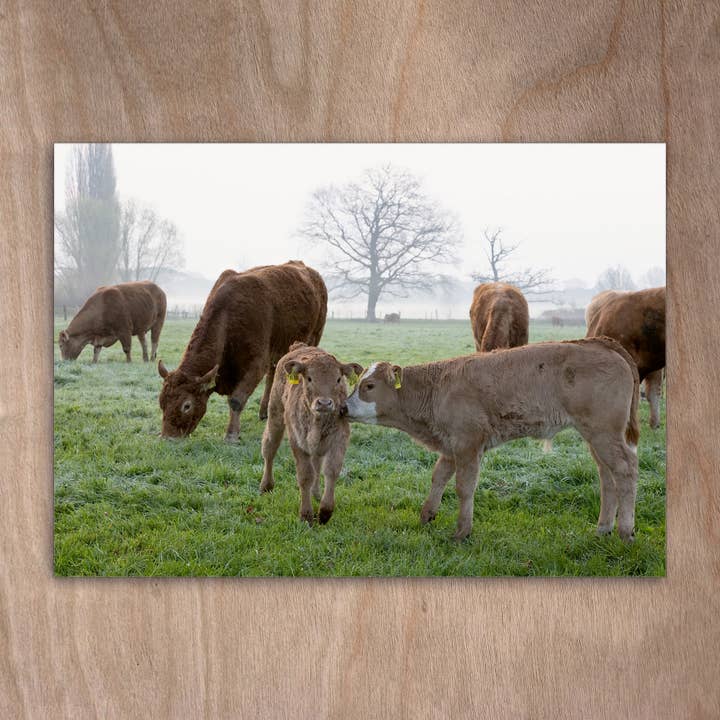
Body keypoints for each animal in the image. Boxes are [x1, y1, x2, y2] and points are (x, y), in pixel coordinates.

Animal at [158, 261, 327, 441]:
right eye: (162, 402)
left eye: (186, 405)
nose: (168, 437)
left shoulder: (257, 364)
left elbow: (236, 400)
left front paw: (231, 434)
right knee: (273, 375)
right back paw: (265, 412)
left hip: (314, 337)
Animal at [259, 343, 363, 524]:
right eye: (309, 378)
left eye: (338, 379)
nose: (324, 403)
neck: (318, 422)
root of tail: (299, 346)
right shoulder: (297, 441)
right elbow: (305, 475)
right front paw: (306, 515)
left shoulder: (339, 439)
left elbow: (331, 471)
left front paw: (325, 511)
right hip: (275, 415)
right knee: (269, 448)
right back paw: (266, 485)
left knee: (316, 463)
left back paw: (316, 494)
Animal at [345, 337, 640, 542]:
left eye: (368, 386)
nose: (342, 408)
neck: (437, 388)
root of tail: (600, 343)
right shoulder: (451, 446)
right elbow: (438, 477)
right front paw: (427, 514)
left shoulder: (468, 444)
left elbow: (464, 487)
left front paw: (462, 531)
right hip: (595, 436)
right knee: (607, 476)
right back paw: (603, 528)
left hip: (604, 433)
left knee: (625, 470)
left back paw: (625, 531)